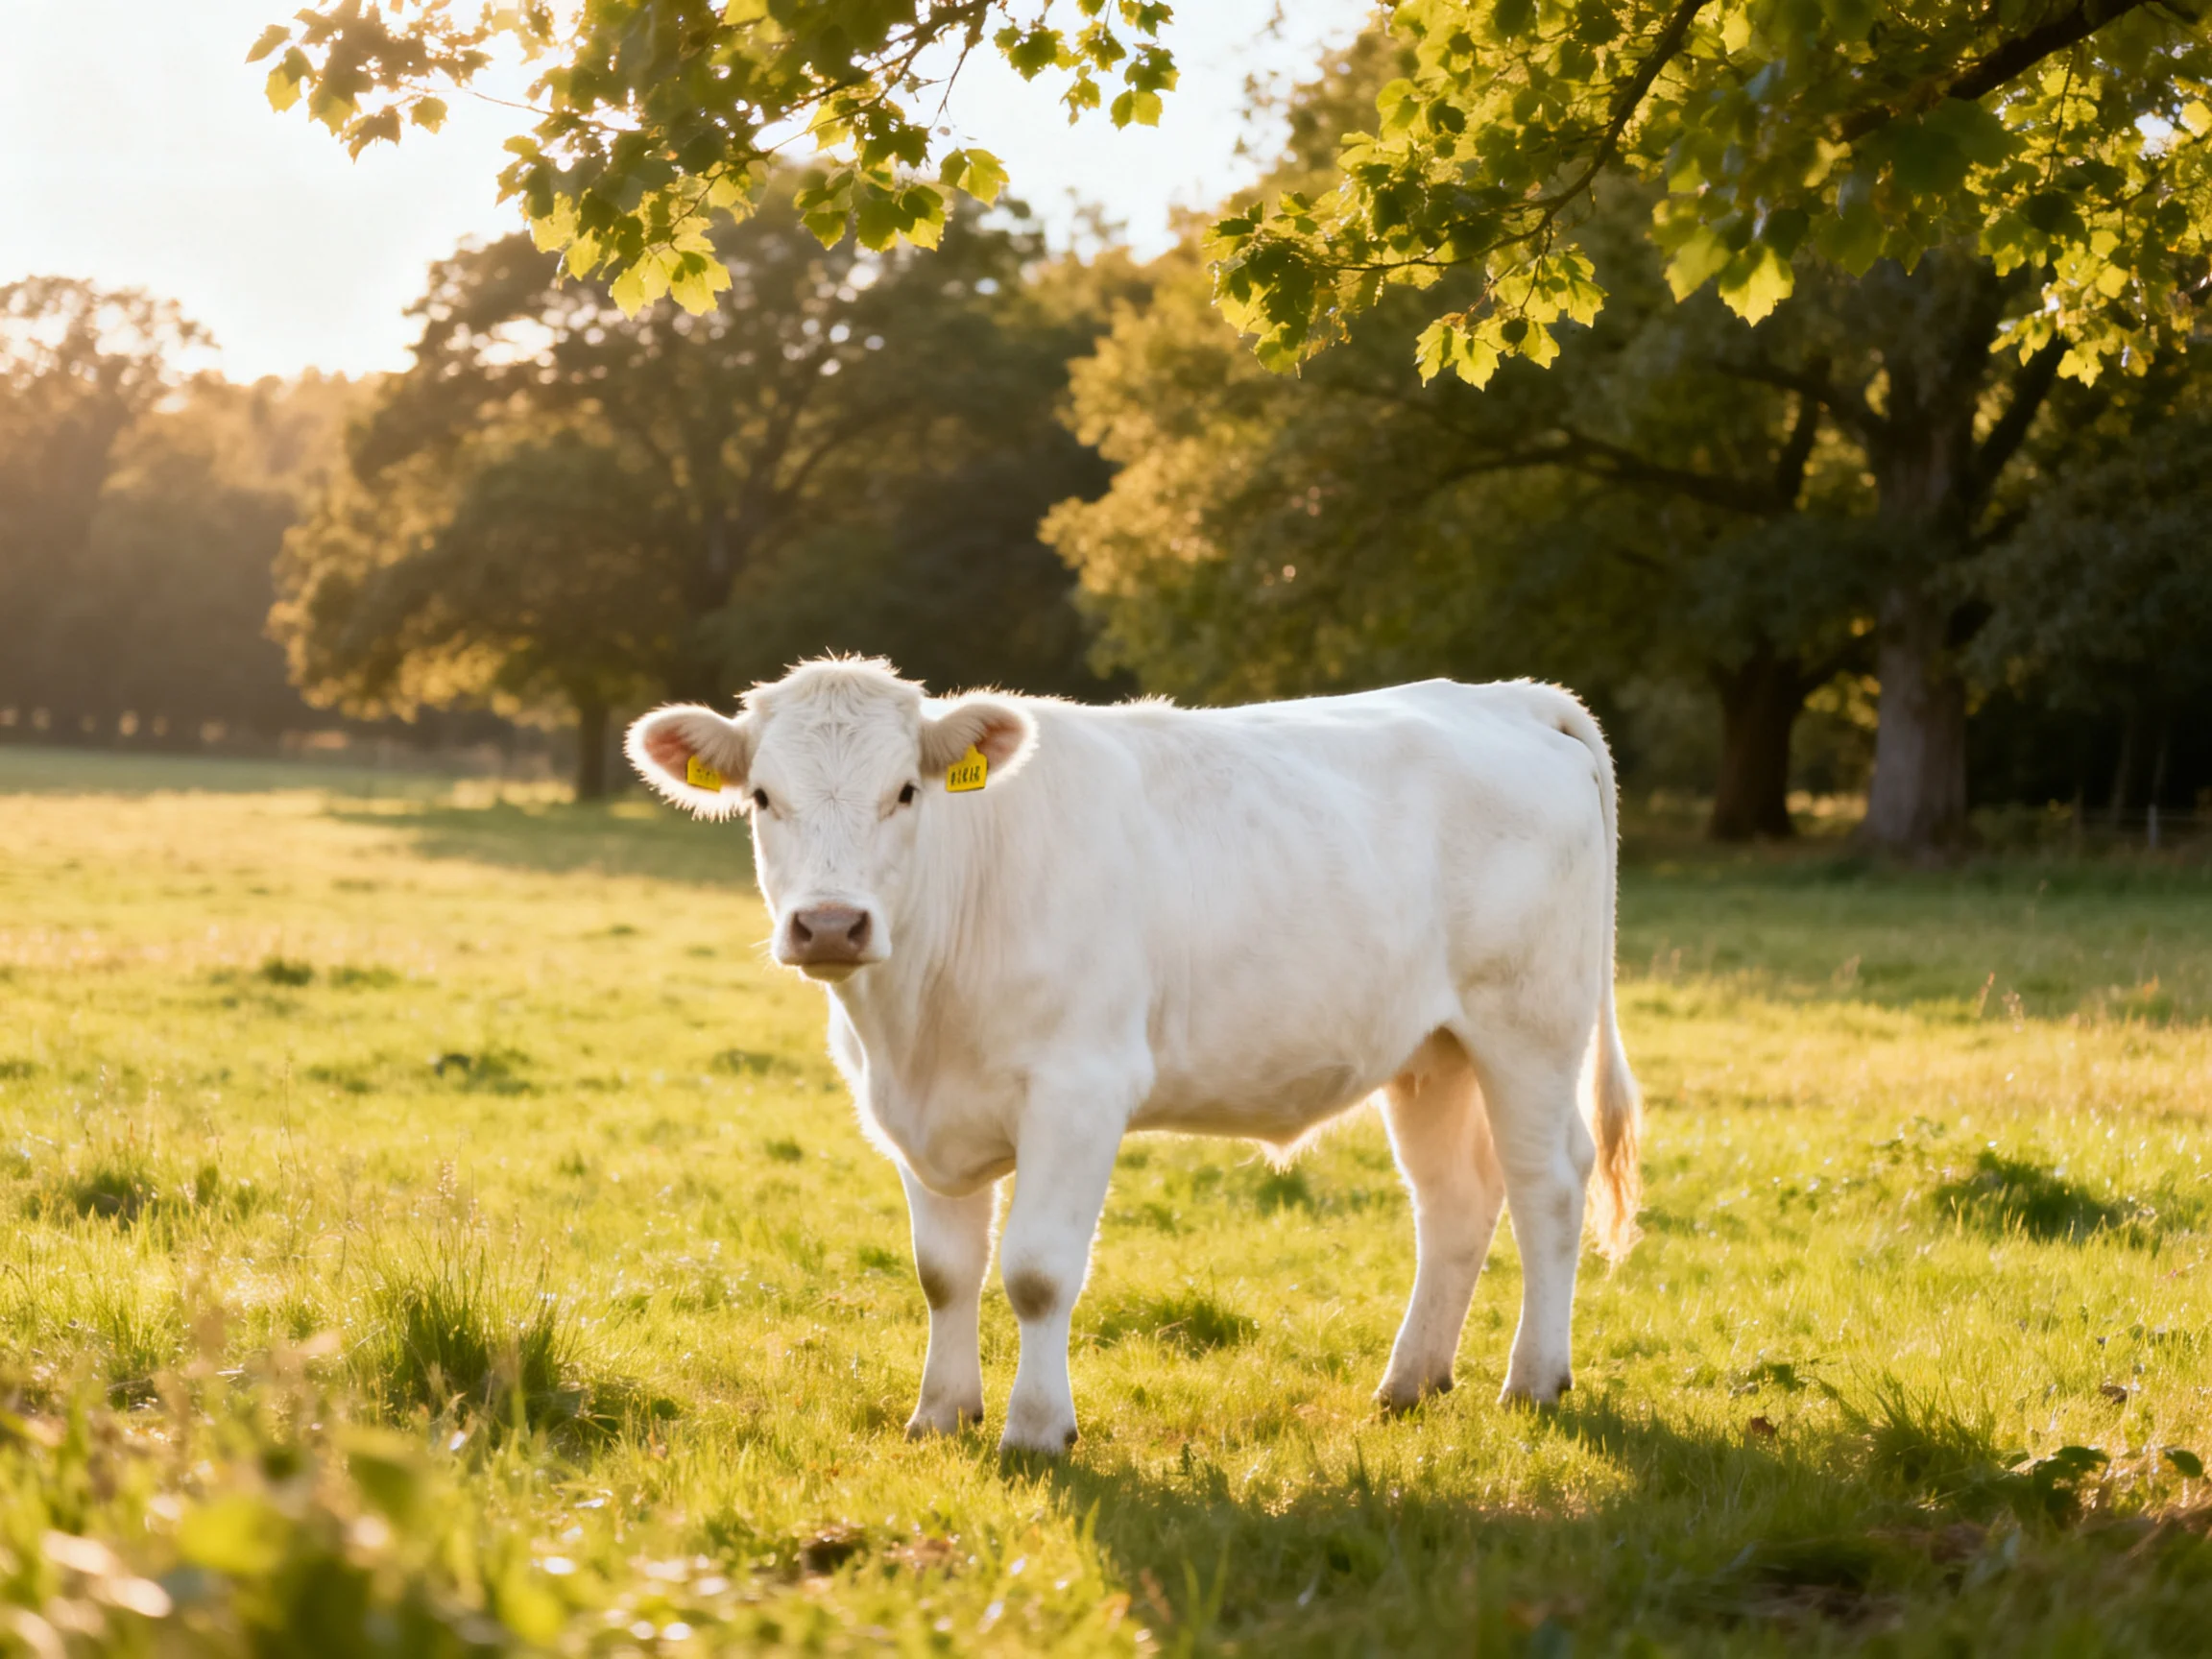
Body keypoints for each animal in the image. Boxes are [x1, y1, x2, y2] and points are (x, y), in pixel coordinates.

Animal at [626, 658, 1641, 1455]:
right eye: (764, 798)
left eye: (905, 792)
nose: (831, 924)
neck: (914, 1019)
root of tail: (1505, 698)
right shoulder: (915, 1113)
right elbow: (944, 1271)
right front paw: (940, 1416)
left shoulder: (1079, 1091)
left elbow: (1036, 1271)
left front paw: (1038, 1430)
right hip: (1433, 1053)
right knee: (1453, 1202)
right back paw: (1410, 1382)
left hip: (1529, 1027)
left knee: (1548, 1186)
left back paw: (1533, 1380)